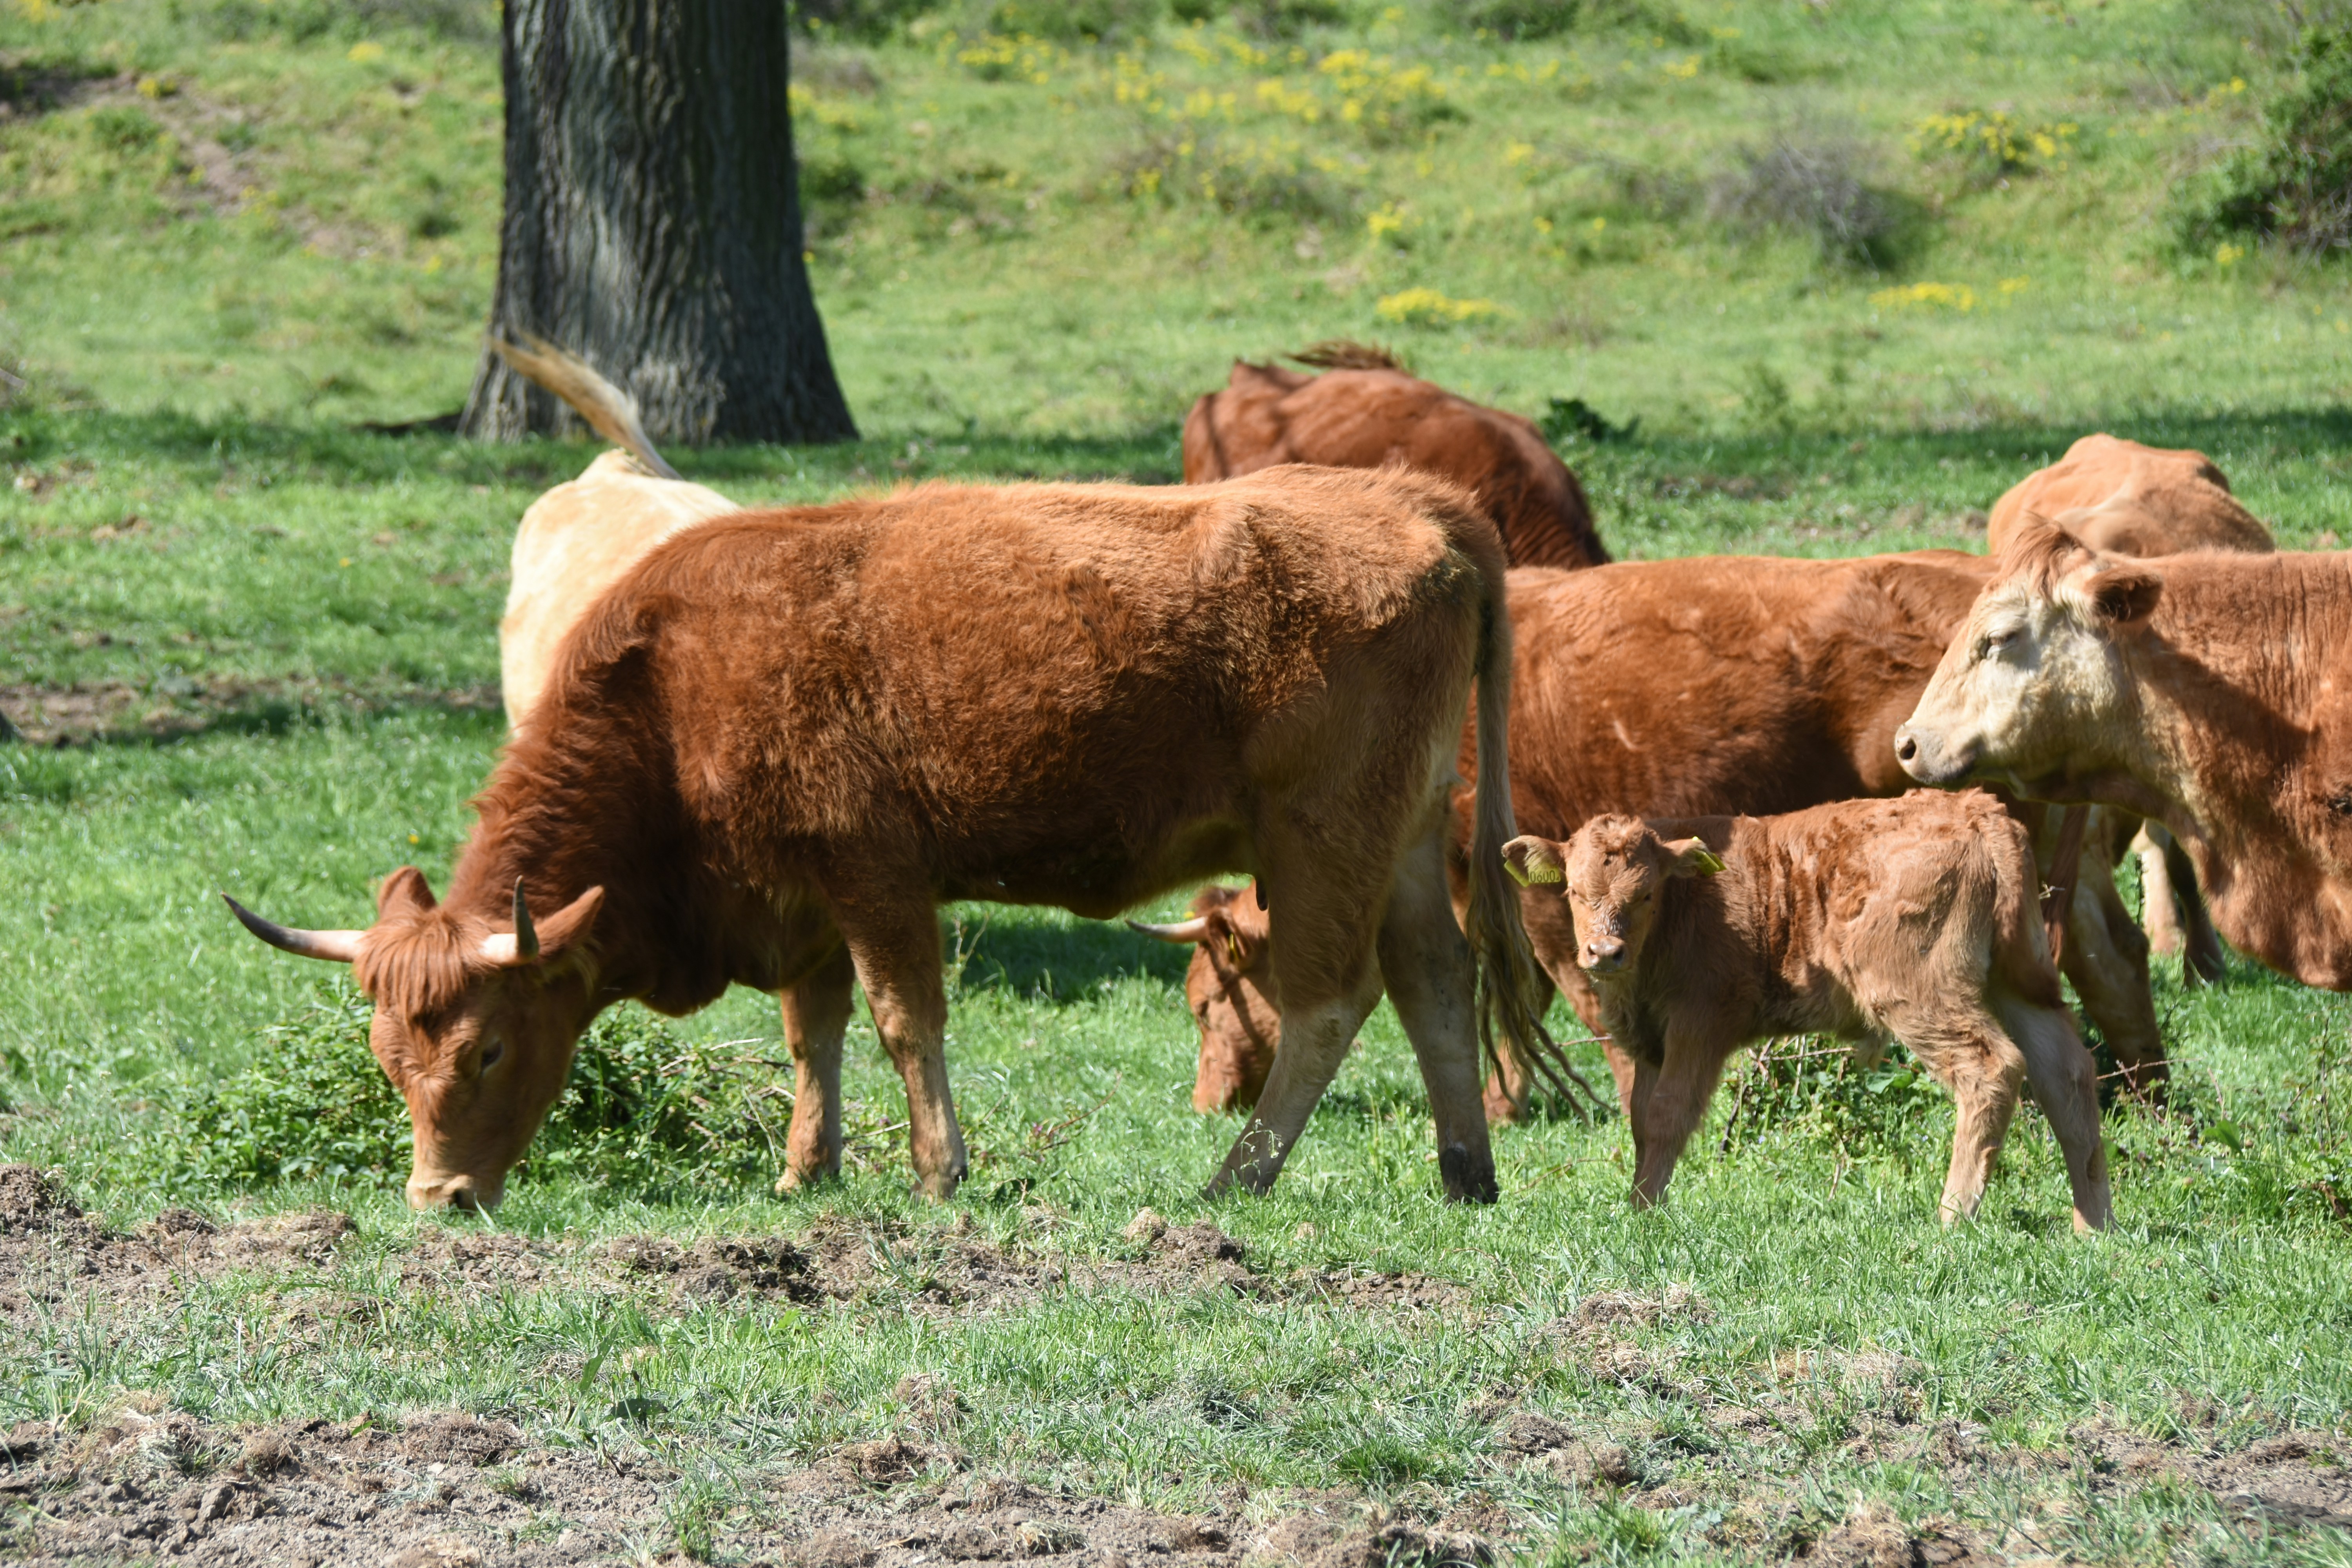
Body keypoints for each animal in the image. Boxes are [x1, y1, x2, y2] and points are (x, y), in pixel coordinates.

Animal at [225, 463, 1559, 1210]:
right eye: (388, 1060)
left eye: (491, 1048)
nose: (439, 1196)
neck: (673, 682)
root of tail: (1425, 506)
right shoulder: (801, 901)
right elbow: (811, 1038)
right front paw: (804, 1172)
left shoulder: (874, 876)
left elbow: (904, 1023)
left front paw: (936, 1174)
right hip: (1398, 842)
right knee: (1436, 983)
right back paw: (1465, 1174)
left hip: (1322, 838)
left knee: (1333, 1002)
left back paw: (1230, 1182)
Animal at [1498, 793, 2113, 1232]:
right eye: (1574, 892)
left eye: (1646, 893)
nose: (1605, 952)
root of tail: (1978, 810)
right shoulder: (1651, 1041)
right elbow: (1641, 1121)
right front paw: (1636, 1202)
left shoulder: (1700, 1023)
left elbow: (1668, 1115)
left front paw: (1645, 1213)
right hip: (2020, 982)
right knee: (2067, 1074)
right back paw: (2093, 1225)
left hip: (1922, 996)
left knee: (1991, 1069)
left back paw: (1953, 1217)